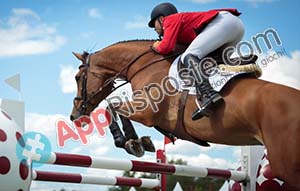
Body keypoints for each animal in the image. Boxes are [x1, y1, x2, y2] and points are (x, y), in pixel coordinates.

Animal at [71, 39, 300, 189]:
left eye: (77, 77)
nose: (74, 116)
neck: (144, 66)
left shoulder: (146, 111)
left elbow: (111, 106)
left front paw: (130, 142)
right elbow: (114, 106)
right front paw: (140, 142)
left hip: (284, 163)